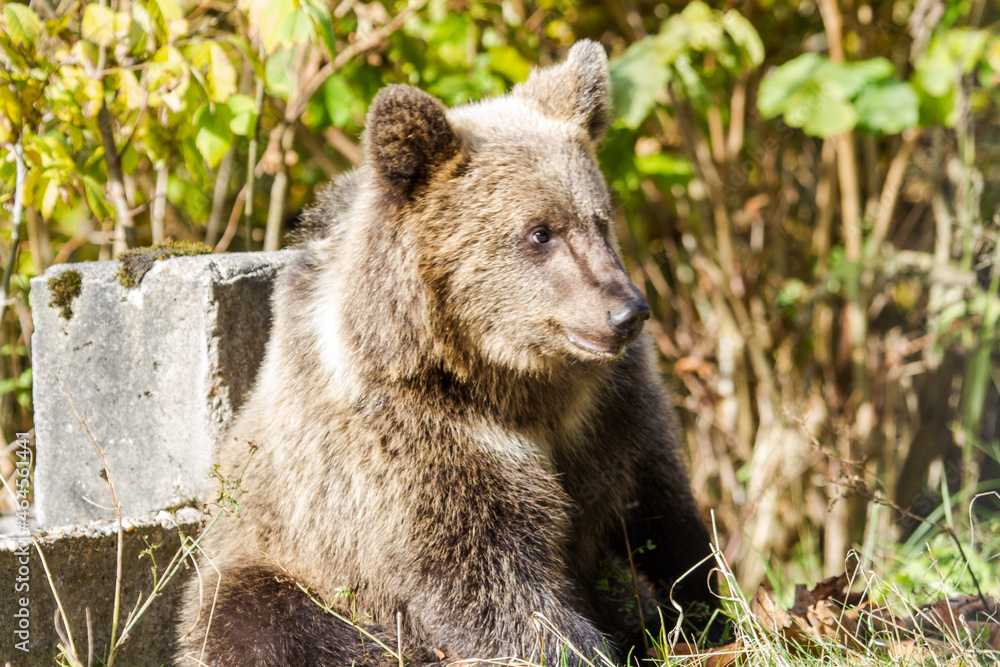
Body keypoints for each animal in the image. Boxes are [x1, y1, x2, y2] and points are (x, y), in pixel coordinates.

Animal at [175, 40, 718, 667]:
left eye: (600, 219)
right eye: (540, 232)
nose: (627, 312)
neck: (514, 379)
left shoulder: (611, 410)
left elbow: (661, 510)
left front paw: (706, 609)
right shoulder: (413, 441)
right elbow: (487, 577)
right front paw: (578, 645)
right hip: (263, 564)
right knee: (259, 619)